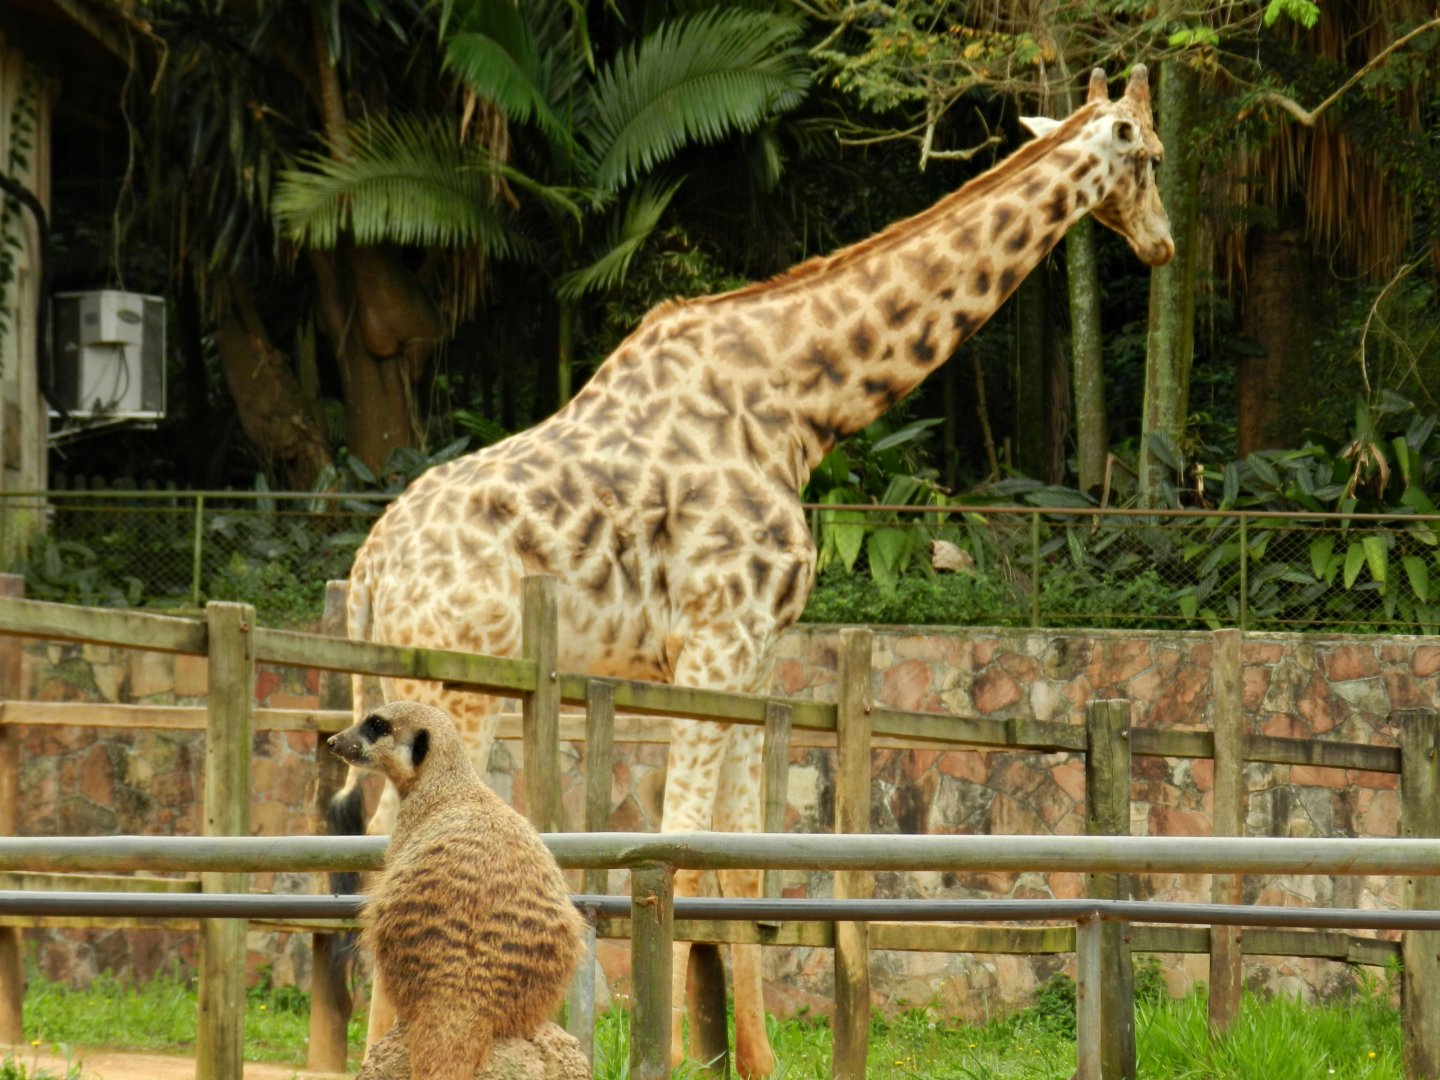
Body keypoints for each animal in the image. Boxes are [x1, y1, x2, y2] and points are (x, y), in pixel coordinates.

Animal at [333, 64, 1172, 1077]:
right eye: (1153, 156)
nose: (1165, 244)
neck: (803, 402)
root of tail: (371, 566)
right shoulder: (717, 638)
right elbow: (676, 844)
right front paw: (674, 1049)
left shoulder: (750, 656)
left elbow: (734, 851)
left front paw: (741, 1055)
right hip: (461, 682)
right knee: (394, 833)